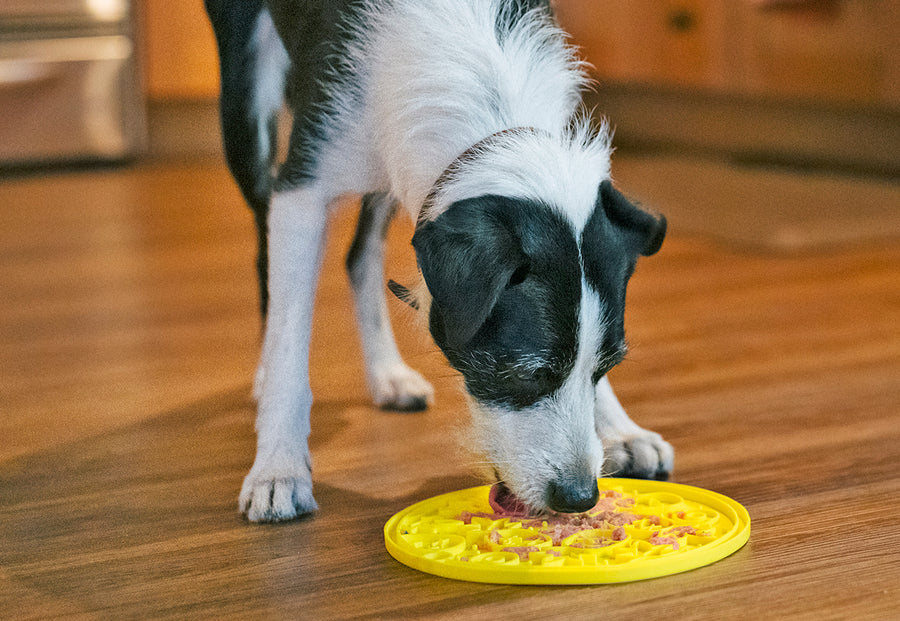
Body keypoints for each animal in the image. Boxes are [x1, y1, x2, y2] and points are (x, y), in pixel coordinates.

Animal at [202, 0, 668, 524]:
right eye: (526, 374)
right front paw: (278, 469)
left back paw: (387, 374)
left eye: (607, 366)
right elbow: (291, 337)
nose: (580, 497)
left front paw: (621, 430)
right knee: (267, 253)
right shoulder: (304, 187)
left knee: (359, 255)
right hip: (246, 100)